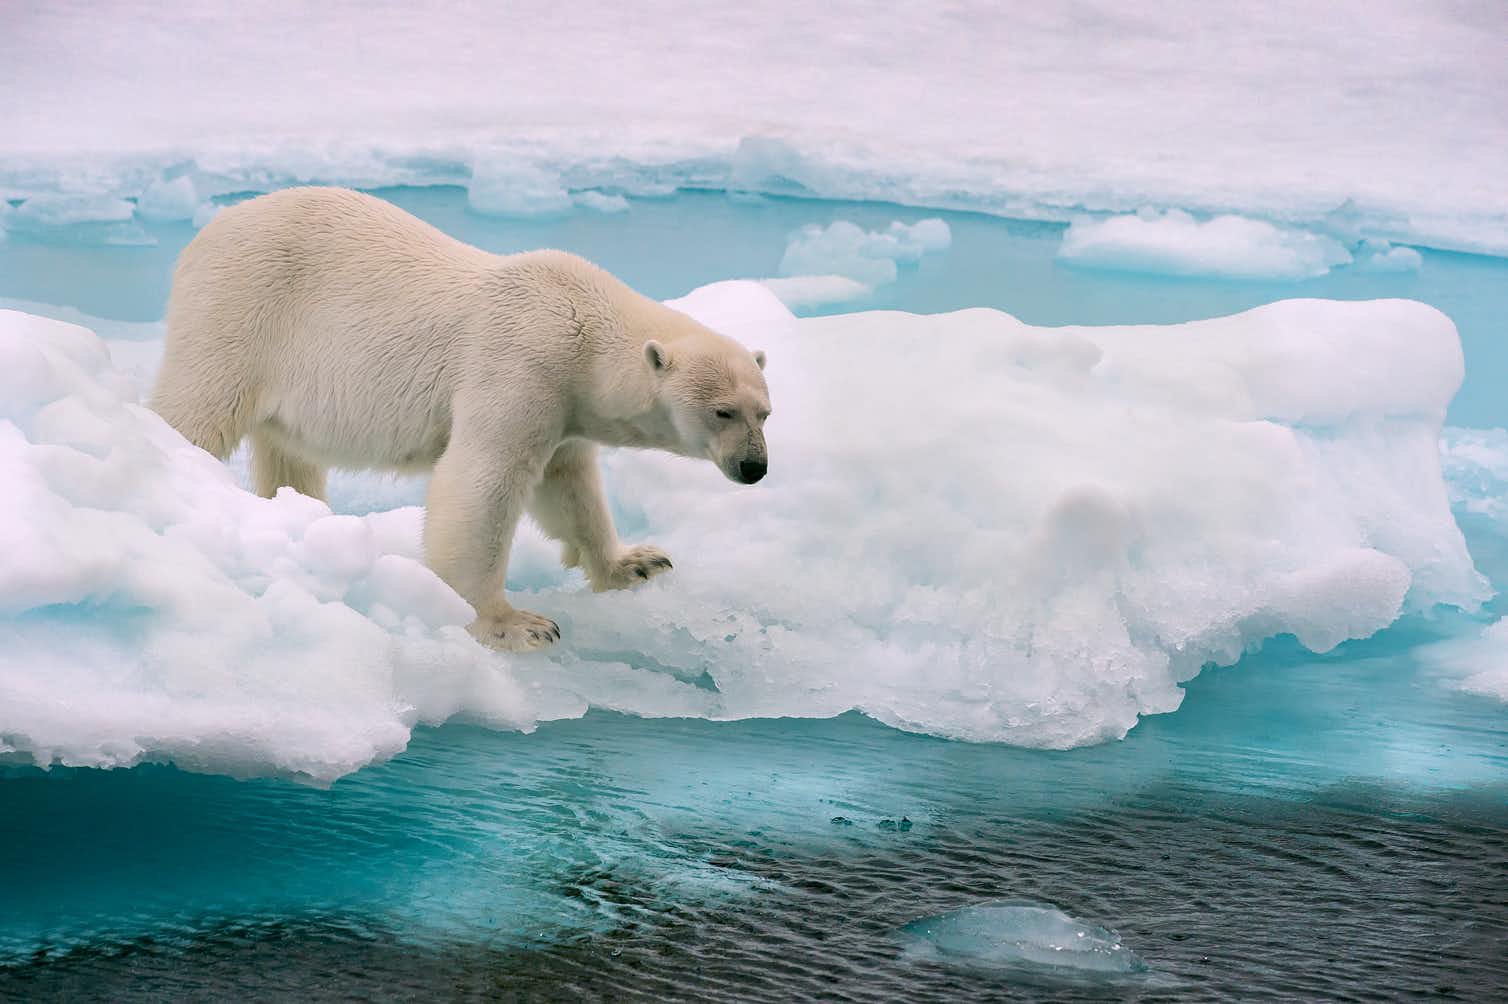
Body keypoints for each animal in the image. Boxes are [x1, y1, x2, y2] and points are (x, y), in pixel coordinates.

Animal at [154, 185, 772, 648]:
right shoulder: (521, 366)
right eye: (723, 412)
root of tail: (209, 229)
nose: (755, 468)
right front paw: (516, 624)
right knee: (196, 409)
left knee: (288, 452)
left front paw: (637, 563)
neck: (582, 327)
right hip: (241, 309)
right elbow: (481, 483)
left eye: (765, 412)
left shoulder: (567, 406)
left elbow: (569, 487)